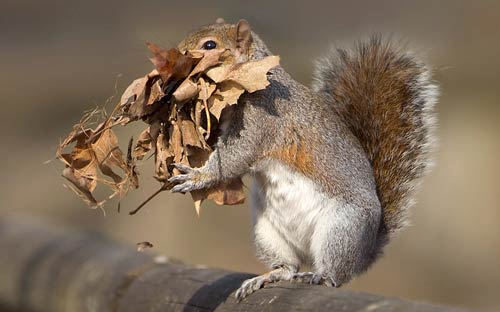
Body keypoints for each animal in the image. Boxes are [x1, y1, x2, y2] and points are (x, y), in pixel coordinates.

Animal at [168, 18, 438, 300]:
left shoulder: (263, 119)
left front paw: (196, 176)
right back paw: (269, 276)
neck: (256, 79)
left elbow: (235, 157)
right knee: (288, 267)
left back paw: (321, 276)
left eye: (209, 45)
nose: (176, 58)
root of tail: (366, 252)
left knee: (336, 274)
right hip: (267, 233)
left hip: (339, 231)